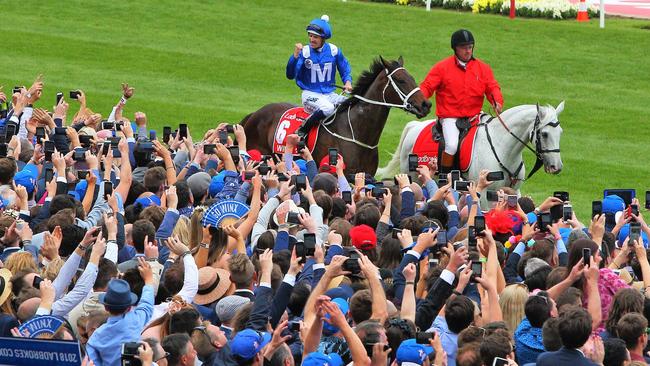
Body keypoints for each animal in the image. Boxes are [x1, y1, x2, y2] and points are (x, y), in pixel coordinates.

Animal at [374, 102, 560, 194]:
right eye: (544, 134)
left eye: (560, 132)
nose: (556, 167)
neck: (502, 147)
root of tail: (414, 126)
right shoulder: (483, 191)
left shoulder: (513, 190)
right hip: (415, 178)